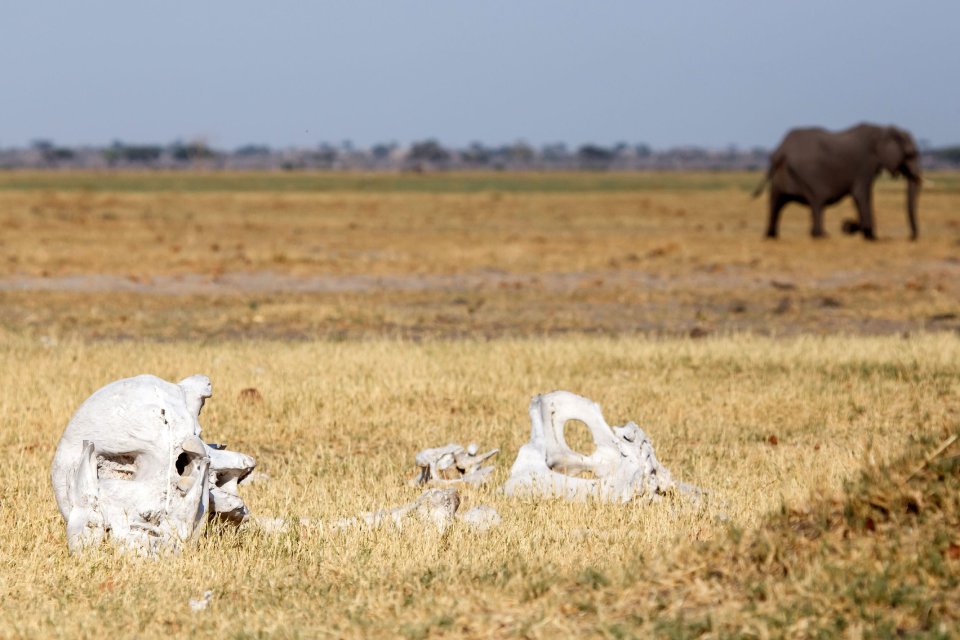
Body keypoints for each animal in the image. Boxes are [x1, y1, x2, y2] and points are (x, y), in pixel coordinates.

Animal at [756, 122, 924, 240]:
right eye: (910, 154)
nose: (911, 237)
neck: (882, 130)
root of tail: (781, 149)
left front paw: (860, 230)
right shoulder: (865, 165)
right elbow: (861, 194)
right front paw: (870, 236)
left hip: (781, 177)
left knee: (776, 203)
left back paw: (771, 236)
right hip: (808, 174)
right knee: (816, 201)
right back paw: (821, 235)